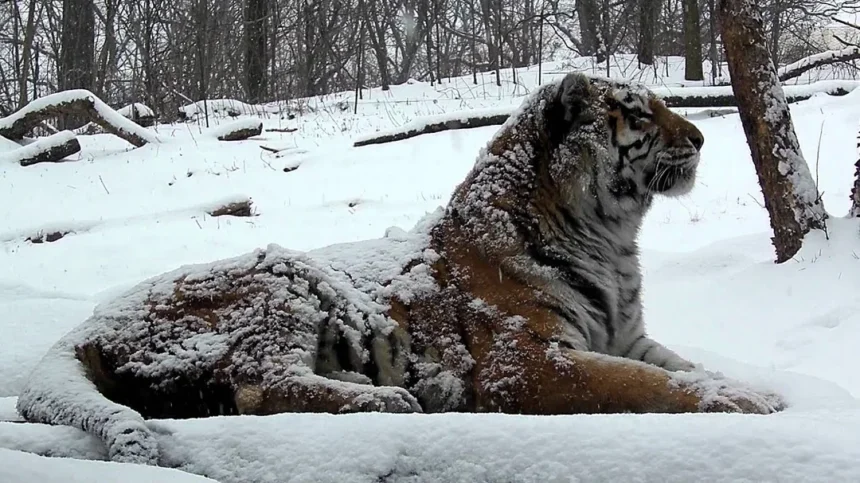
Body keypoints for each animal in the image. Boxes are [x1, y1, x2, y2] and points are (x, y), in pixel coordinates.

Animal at [16, 72, 783, 466]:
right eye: (637, 114)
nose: (701, 136)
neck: (612, 239)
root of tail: (90, 321)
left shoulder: (627, 335)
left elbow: (682, 366)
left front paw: (752, 390)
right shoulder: (526, 360)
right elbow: (645, 383)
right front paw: (747, 404)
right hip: (277, 281)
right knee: (259, 387)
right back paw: (383, 397)